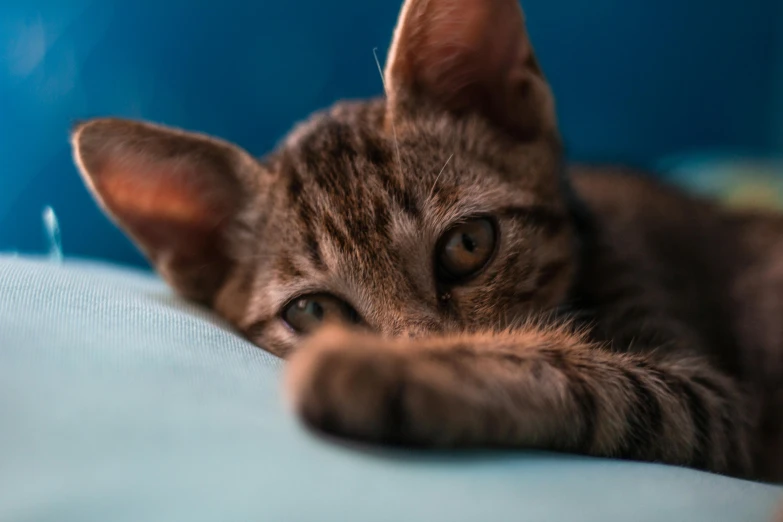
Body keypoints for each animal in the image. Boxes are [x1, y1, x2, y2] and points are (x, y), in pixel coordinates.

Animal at [72, 0, 783, 482]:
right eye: (314, 311)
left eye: (468, 245)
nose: (420, 345)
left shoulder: (713, 401)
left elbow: (581, 375)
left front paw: (397, 369)